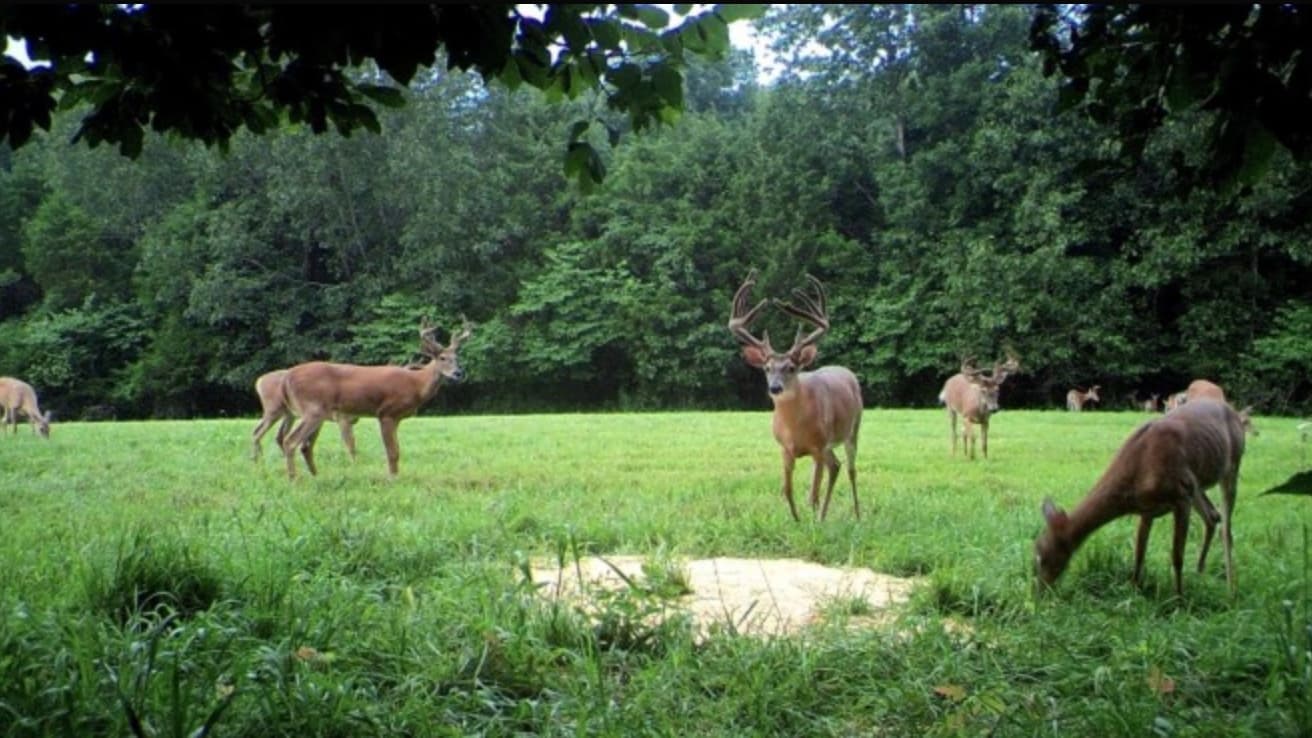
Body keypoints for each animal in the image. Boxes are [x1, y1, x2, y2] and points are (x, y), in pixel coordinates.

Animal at [280, 316, 473, 479]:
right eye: (442, 358)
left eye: (457, 358)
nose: (458, 373)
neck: (416, 384)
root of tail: (288, 376)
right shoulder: (386, 413)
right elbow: (392, 452)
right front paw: (392, 479)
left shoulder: (397, 418)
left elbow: (397, 450)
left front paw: (396, 476)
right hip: (313, 409)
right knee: (290, 441)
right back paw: (294, 479)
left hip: (316, 413)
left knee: (304, 445)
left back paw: (313, 476)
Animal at [728, 270, 863, 522]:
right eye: (767, 368)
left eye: (791, 367)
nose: (775, 388)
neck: (796, 427)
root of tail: (845, 370)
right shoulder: (785, 449)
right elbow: (788, 490)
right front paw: (797, 521)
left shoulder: (818, 447)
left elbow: (813, 493)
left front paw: (813, 522)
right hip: (829, 446)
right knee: (835, 466)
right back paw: (824, 515)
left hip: (852, 430)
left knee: (850, 470)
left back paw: (856, 515)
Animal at [1034, 398, 1245, 597]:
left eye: (1040, 556)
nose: (1039, 591)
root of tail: (1235, 413)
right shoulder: (1147, 508)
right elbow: (1139, 552)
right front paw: (1134, 590)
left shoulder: (1181, 497)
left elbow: (1177, 557)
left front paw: (1179, 600)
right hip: (1196, 484)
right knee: (1212, 516)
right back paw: (1200, 572)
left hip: (1230, 466)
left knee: (1226, 529)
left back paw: (1231, 588)